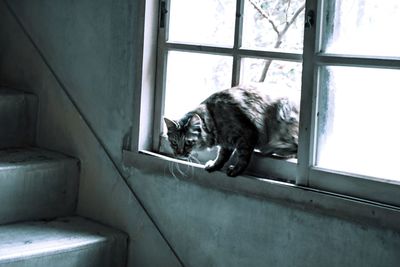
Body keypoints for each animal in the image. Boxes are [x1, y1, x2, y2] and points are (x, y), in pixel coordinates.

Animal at [164, 84, 298, 178]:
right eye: (174, 143)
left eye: (188, 142)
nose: (179, 154)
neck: (213, 117)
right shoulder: (226, 143)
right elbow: (222, 156)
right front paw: (215, 165)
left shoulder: (247, 134)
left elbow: (243, 157)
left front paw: (236, 170)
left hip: (283, 118)